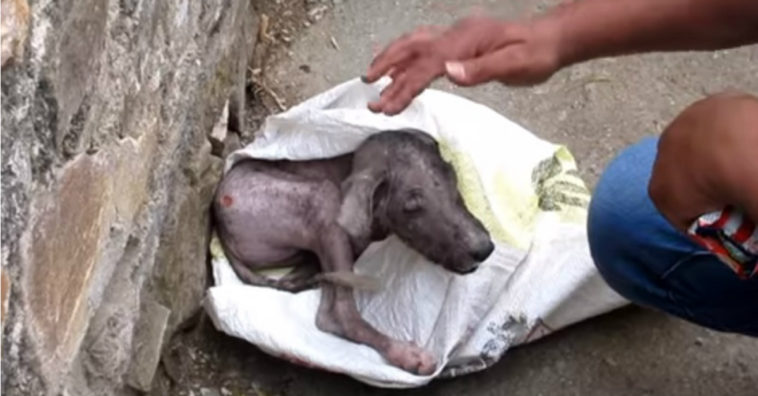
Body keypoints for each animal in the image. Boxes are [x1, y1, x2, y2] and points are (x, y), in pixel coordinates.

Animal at [215, 129, 498, 374]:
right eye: (411, 207)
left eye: (454, 179)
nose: (483, 248)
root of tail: (219, 222)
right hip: (322, 199)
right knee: (336, 314)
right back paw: (407, 354)